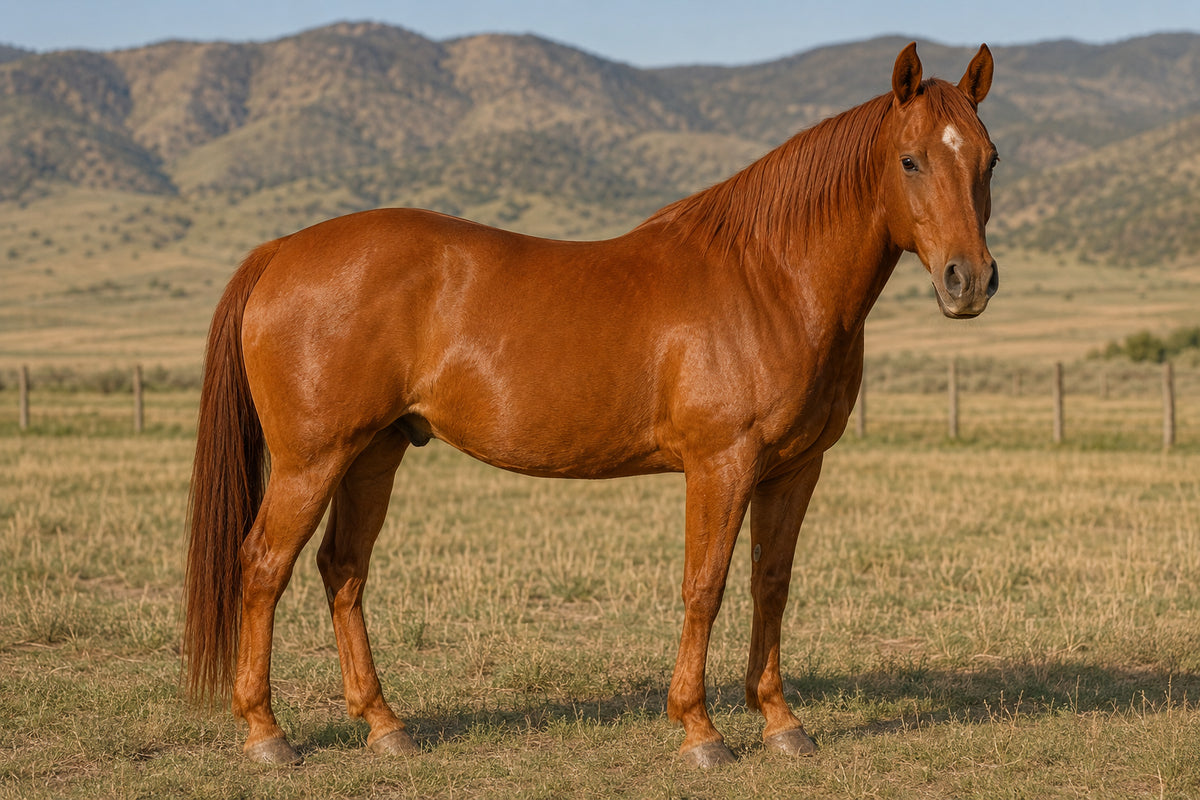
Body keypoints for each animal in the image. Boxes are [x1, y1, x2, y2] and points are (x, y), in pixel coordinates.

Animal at [185, 42, 999, 768]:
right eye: (910, 160)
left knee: (343, 570)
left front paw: (780, 722)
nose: (970, 280)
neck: (768, 280)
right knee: (263, 568)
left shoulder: (795, 470)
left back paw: (384, 726)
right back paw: (267, 735)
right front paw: (699, 731)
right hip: (312, 460)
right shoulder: (721, 465)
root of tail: (283, 250)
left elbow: (770, 585)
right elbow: (704, 587)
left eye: (990, 160)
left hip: (373, 454)